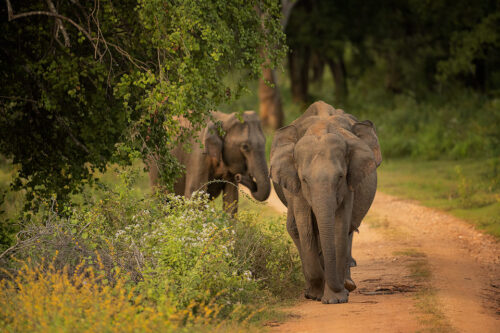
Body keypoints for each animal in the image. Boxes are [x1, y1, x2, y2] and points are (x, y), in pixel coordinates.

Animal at [270, 100, 382, 304]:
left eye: (340, 177)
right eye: (304, 180)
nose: (345, 287)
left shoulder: (348, 184)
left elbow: (339, 226)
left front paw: (335, 299)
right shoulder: (296, 187)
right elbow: (305, 228)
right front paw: (315, 294)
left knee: (348, 229)